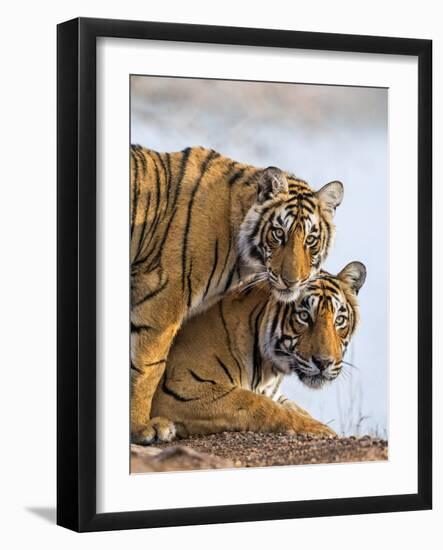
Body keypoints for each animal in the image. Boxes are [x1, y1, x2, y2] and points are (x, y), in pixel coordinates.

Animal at [130, 146, 346, 444]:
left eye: (310, 240)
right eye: (278, 234)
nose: (292, 281)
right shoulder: (161, 299)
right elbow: (147, 367)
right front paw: (141, 428)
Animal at [153, 264, 368, 440]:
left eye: (339, 320)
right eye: (304, 316)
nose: (324, 362)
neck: (267, 370)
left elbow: (295, 407)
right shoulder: (181, 387)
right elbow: (259, 404)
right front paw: (321, 430)